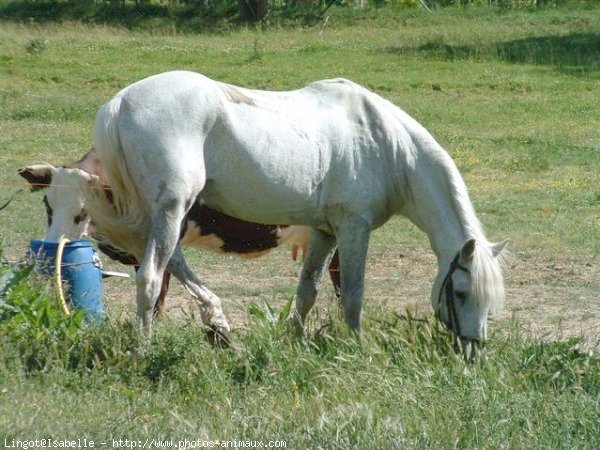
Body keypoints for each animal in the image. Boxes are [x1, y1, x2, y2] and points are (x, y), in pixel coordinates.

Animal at [86, 71, 508, 358]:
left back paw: (217, 321)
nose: (473, 352)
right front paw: (357, 349)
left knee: (173, 262)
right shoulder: (354, 228)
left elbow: (308, 291)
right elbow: (352, 294)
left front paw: (295, 342)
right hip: (173, 208)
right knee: (151, 276)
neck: (384, 143)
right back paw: (147, 350)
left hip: (165, 214)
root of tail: (120, 103)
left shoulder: (325, 232)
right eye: (460, 290)